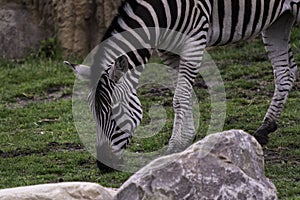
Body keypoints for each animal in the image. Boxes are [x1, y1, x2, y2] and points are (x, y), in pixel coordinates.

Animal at [65, 0, 300, 172]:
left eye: (114, 112)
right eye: (92, 113)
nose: (102, 166)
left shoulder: (195, 40)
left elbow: (179, 97)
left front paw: (174, 145)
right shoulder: (168, 49)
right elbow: (186, 94)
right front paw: (187, 139)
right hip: (278, 20)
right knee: (285, 73)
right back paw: (265, 127)